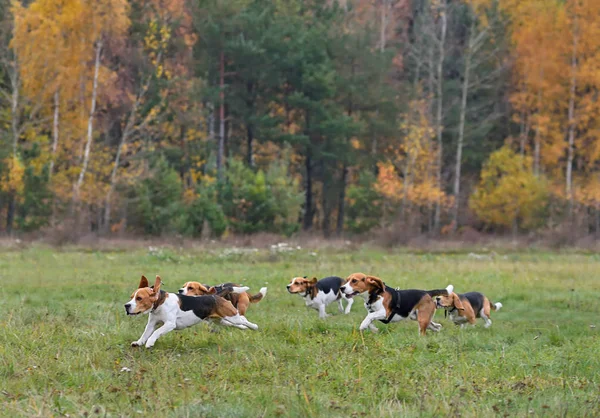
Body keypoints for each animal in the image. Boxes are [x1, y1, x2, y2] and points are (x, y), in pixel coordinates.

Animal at [124, 276, 258, 348]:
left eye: (139, 298)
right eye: (131, 297)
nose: (126, 305)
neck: (160, 303)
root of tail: (215, 295)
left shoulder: (170, 324)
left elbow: (156, 332)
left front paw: (150, 342)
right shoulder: (151, 324)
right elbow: (145, 333)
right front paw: (139, 342)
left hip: (231, 315)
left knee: (243, 319)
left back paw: (254, 327)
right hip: (220, 320)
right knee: (236, 324)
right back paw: (244, 328)